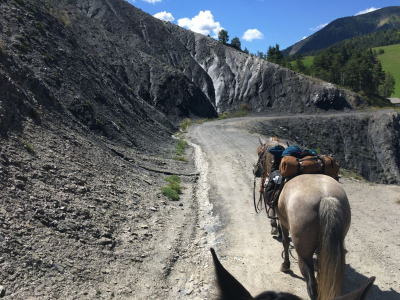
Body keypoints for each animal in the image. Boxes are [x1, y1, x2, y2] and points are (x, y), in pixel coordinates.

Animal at [258, 138, 352, 300]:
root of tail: (326, 198)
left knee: (311, 284)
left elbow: (285, 242)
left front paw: (285, 265)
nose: (256, 171)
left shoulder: (283, 222)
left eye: (260, 154)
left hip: (304, 253)